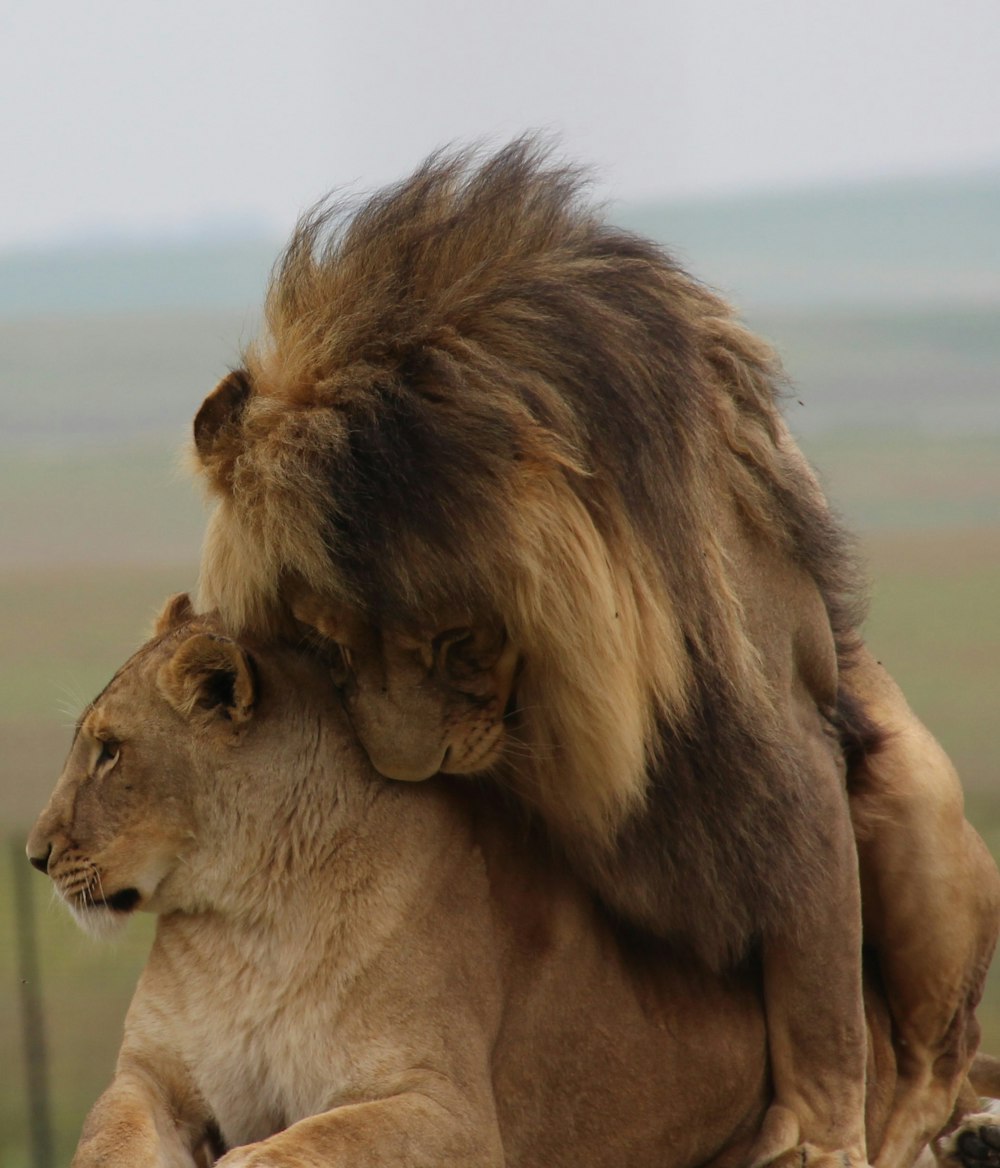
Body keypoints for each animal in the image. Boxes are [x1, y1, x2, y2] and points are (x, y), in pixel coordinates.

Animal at [21, 602, 990, 1168]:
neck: (251, 919)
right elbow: (109, 1138)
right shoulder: (151, 1075)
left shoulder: (446, 1109)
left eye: (109, 751)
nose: (33, 853)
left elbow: (298, 1147)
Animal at [191, 141, 995, 1168]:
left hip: (916, 798)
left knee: (939, 1054)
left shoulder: (789, 752)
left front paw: (820, 1142)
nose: (407, 770)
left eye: (459, 643)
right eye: (327, 646)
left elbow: (820, 1002)